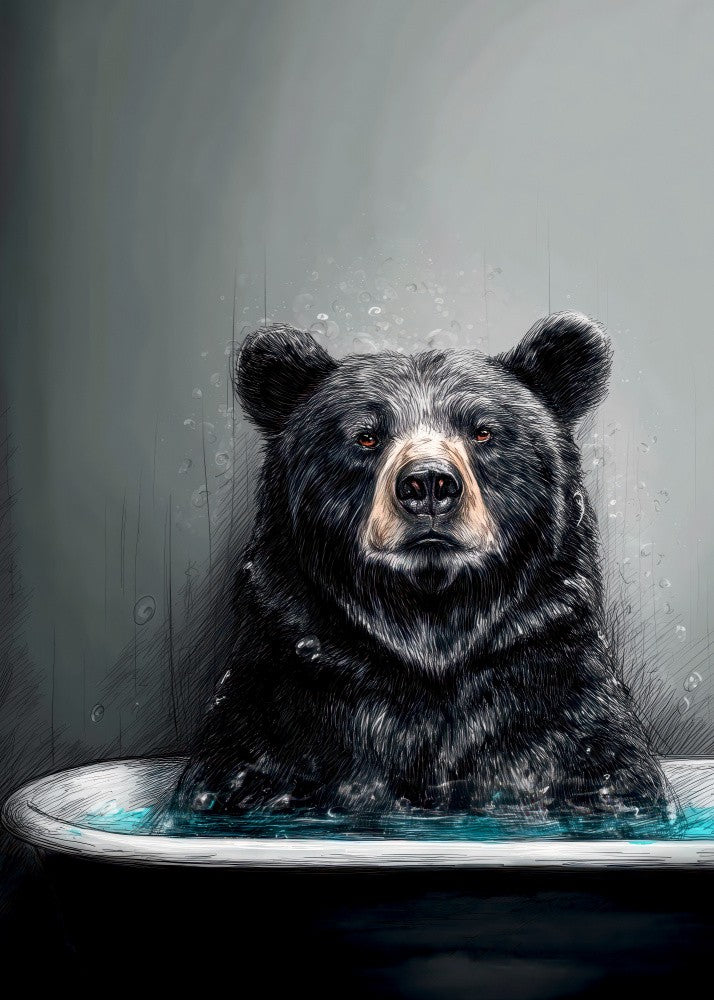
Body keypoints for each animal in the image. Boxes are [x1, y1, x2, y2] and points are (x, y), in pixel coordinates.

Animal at [173, 312, 668, 820]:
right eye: (366, 435)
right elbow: (250, 766)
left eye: (482, 431)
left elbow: (596, 766)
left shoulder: (550, 696)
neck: (430, 627)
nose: (428, 483)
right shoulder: (284, 705)